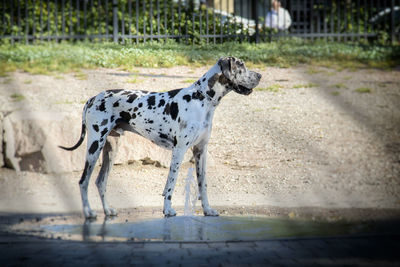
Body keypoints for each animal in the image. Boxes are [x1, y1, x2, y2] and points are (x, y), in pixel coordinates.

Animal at [58, 57, 260, 219]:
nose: (259, 75)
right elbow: (171, 184)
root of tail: (92, 98)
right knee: (83, 181)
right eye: (241, 66)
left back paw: (107, 210)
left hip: (110, 149)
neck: (200, 99)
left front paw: (208, 210)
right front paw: (168, 210)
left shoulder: (200, 151)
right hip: (94, 146)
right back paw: (89, 213)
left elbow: (203, 184)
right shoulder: (179, 151)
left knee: (100, 182)